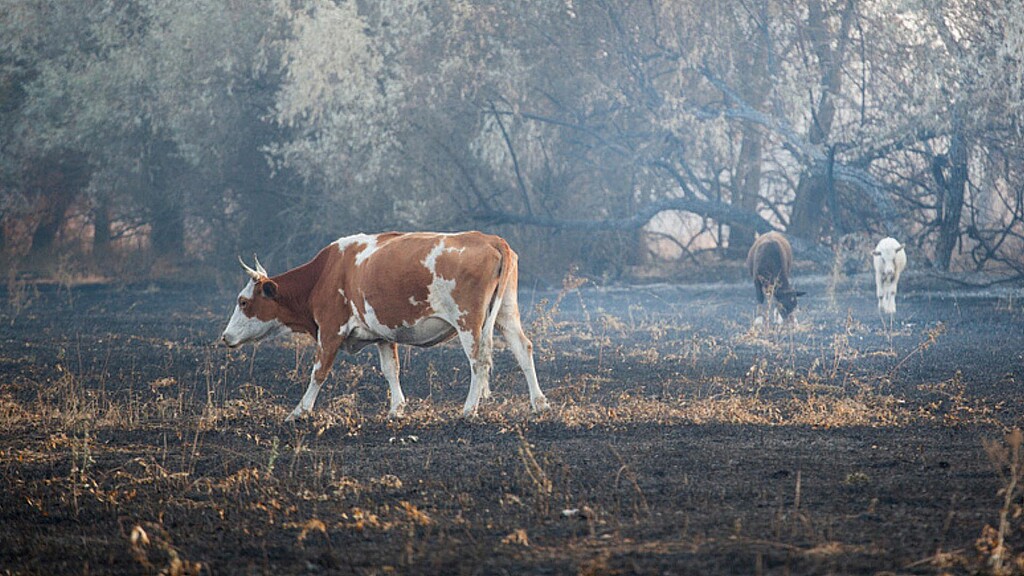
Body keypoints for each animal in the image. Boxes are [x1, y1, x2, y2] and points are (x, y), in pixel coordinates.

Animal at [220, 230, 548, 420]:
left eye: (243, 302)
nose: (225, 336)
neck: (326, 273)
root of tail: (492, 239)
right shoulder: (381, 334)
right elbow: (391, 369)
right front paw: (396, 409)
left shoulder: (330, 330)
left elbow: (318, 372)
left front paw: (299, 411)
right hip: (506, 313)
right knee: (523, 348)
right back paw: (539, 403)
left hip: (469, 320)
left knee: (479, 360)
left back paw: (469, 409)